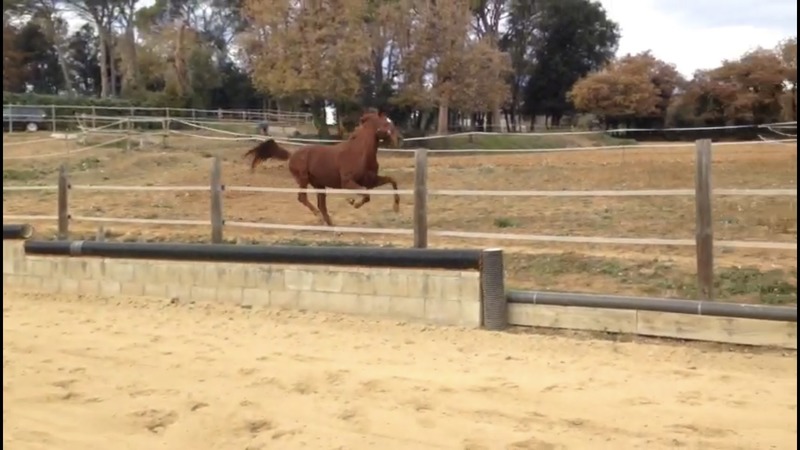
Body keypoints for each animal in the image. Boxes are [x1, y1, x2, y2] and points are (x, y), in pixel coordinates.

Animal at [242, 111, 402, 227]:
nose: (400, 139)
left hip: (319, 185)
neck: (359, 153)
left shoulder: (371, 181)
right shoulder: (347, 182)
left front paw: (396, 208)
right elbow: (366, 195)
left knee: (321, 204)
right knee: (303, 198)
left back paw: (330, 223)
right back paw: (320, 218)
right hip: (303, 179)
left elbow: (392, 181)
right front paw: (353, 202)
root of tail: (292, 155)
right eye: (386, 123)